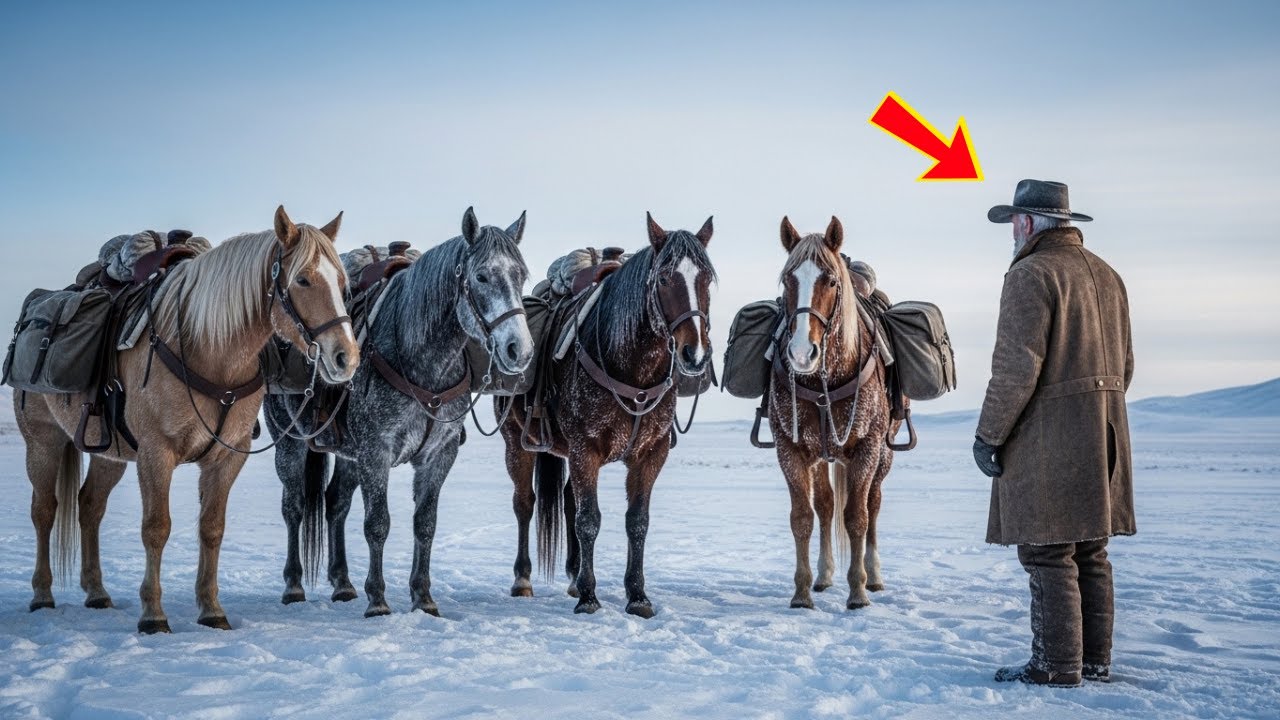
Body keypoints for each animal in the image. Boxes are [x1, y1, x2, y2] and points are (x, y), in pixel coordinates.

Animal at [15, 206, 358, 633]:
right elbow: (156, 528)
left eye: (342, 283)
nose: (346, 357)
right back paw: (42, 595)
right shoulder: (156, 453)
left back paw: (97, 593)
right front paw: (153, 615)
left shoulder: (227, 457)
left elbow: (212, 528)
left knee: (89, 506)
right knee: (44, 511)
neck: (209, 350)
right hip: (42, 442)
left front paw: (211, 610)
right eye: (303, 279)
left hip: (108, 453)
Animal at [265, 207, 534, 618]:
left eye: (521, 275)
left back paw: (342, 583)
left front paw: (423, 597)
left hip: (349, 455)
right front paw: (378, 599)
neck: (420, 360)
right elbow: (378, 523)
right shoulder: (377, 451)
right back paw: (294, 585)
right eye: (481, 276)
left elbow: (425, 523)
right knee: (293, 507)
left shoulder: (439, 454)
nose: (519, 349)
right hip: (290, 442)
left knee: (335, 505)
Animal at [499, 213, 714, 617]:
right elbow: (589, 520)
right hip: (516, 442)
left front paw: (637, 595)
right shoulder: (586, 449)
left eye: (706, 278)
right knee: (524, 504)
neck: (631, 368)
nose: (694, 353)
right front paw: (589, 596)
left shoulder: (650, 453)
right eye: (664, 278)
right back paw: (522, 579)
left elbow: (636, 522)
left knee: (568, 500)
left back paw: (571, 574)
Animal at [769, 216, 896, 611]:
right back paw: (824, 576)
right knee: (825, 506)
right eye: (787, 279)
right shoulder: (790, 449)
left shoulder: (867, 448)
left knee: (874, 505)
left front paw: (858, 591)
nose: (801, 353)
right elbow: (802, 517)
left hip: (883, 455)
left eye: (831, 281)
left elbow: (857, 517)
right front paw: (801, 592)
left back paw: (875, 575)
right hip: (822, 456)